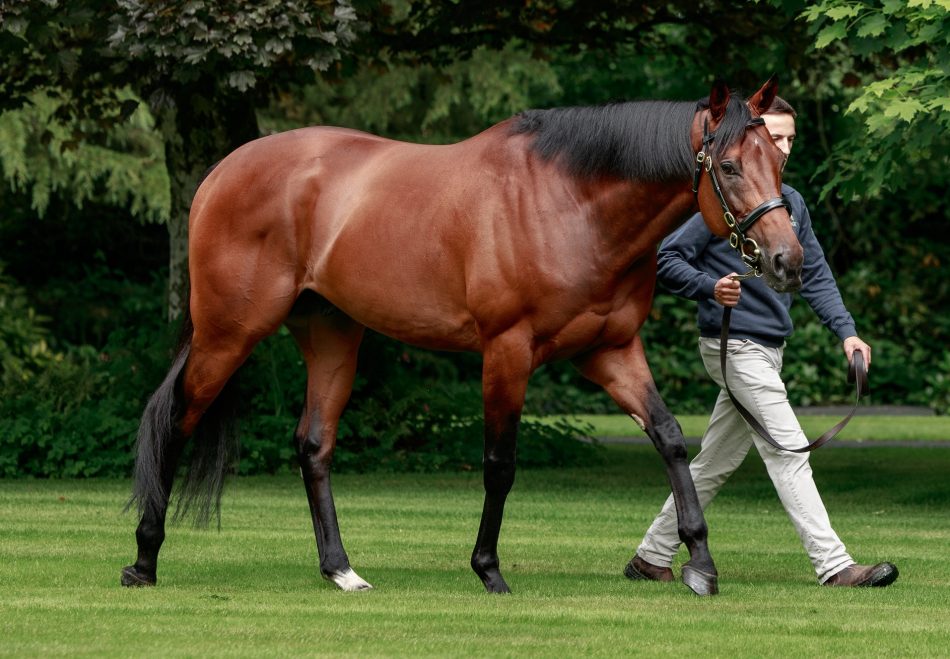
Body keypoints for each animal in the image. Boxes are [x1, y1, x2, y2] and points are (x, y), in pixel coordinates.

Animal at [122, 78, 800, 600]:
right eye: (730, 166)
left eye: (778, 161)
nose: (786, 261)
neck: (571, 203)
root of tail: (221, 173)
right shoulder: (507, 351)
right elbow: (499, 464)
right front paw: (488, 570)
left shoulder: (609, 352)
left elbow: (669, 439)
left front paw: (701, 564)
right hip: (228, 333)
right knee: (177, 421)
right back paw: (144, 562)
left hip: (331, 335)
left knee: (314, 445)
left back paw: (341, 571)